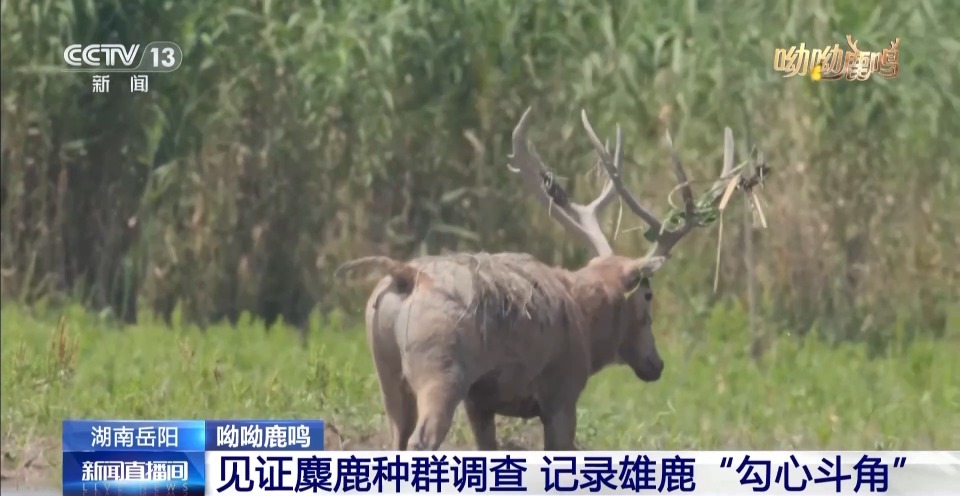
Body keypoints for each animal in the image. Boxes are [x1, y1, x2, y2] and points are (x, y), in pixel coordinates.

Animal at [336, 106, 765, 451]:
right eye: (648, 296)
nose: (656, 364)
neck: (585, 319)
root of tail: (404, 274)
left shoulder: (481, 401)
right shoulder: (562, 392)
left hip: (386, 370)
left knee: (396, 436)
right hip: (441, 367)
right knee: (421, 440)